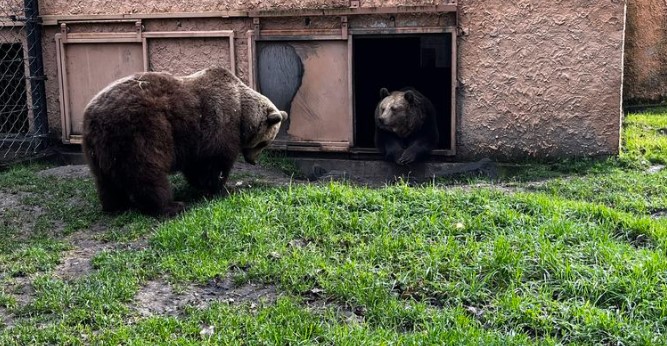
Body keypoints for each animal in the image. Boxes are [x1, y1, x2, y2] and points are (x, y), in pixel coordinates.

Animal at [81, 66, 288, 215]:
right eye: (264, 143)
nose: (253, 161)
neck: (241, 113)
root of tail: (93, 115)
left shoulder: (196, 140)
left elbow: (196, 167)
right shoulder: (218, 123)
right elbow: (213, 163)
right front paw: (223, 188)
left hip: (100, 148)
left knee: (106, 179)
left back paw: (116, 205)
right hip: (141, 130)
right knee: (146, 172)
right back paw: (170, 205)